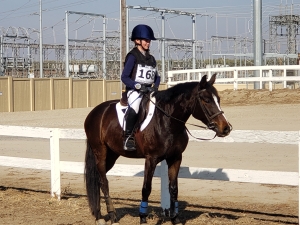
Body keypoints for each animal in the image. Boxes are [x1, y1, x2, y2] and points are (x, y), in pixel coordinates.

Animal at [84, 73, 232, 224]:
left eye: (218, 99)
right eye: (206, 100)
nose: (226, 128)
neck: (167, 120)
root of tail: (95, 112)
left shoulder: (175, 157)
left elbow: (173, 188)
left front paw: (175, 218)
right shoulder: (151, 159)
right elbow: (146, 188)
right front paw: (143, 218)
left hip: (112, 155)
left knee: (97, 179)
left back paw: (99, 215)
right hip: (100, 152)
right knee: (103, 181)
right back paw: (111, 216)